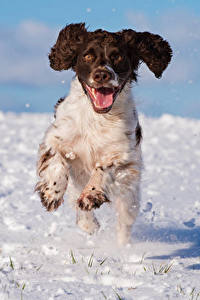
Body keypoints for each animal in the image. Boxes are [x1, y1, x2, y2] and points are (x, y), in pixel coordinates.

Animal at [35, 22, 172, 244]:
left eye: (118, 57)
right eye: (87, 56)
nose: (101, 74)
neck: (97, 118)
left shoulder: (122, 152)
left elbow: (103, 168)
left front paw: (91, 195)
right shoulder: (57, 136)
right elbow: (56, 159)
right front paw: (51, 193)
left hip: (129, 197)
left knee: (124, 223)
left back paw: (123, 247)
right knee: (81, 212)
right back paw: (89, 224)